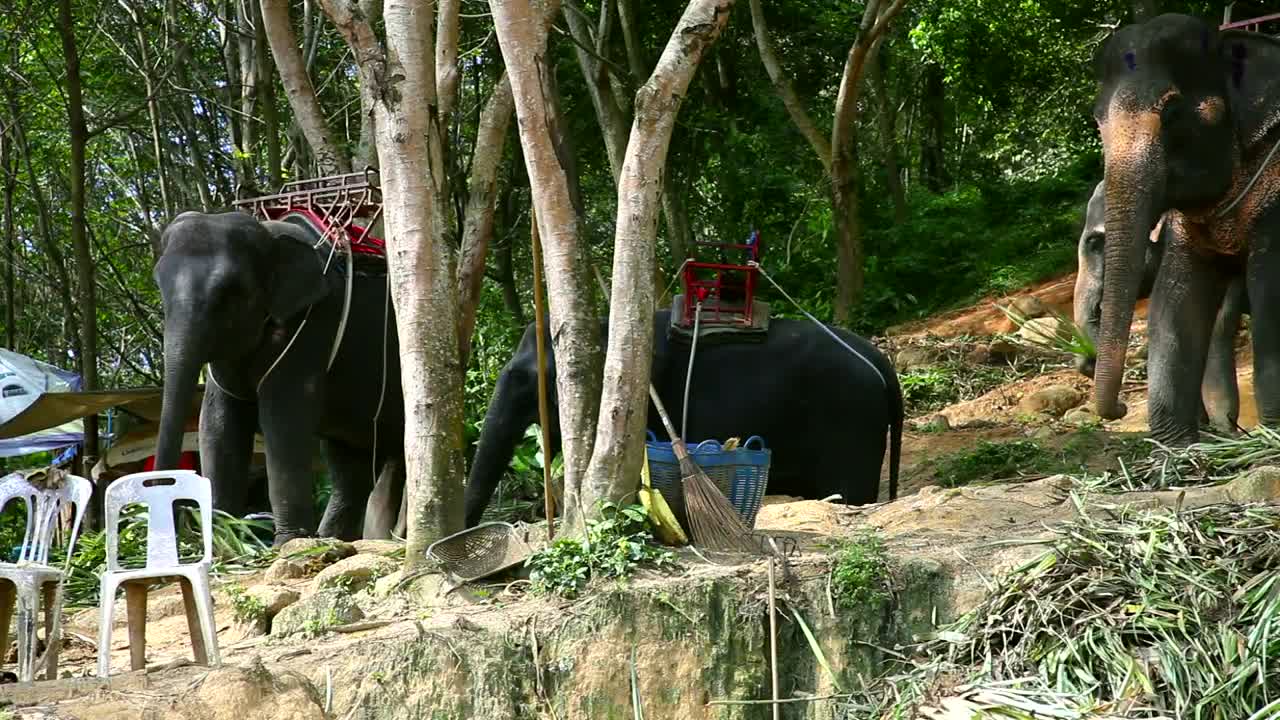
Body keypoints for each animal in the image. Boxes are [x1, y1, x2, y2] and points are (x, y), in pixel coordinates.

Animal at [152, 207, 407, 543]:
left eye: (230, 292)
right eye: (158, 283)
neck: (271, 235)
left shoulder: (312, 329)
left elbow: (284, 419)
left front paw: (289, 543)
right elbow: (219, 421)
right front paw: (223, 540)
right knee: (350, 466)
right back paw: (330, 539)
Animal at [1090, 14, 1280, 443]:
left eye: (1173, 111)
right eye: (1097, 121)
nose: (1120, 408)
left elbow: (1269, 295)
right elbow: (1174, 298)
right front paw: (1176, 447)